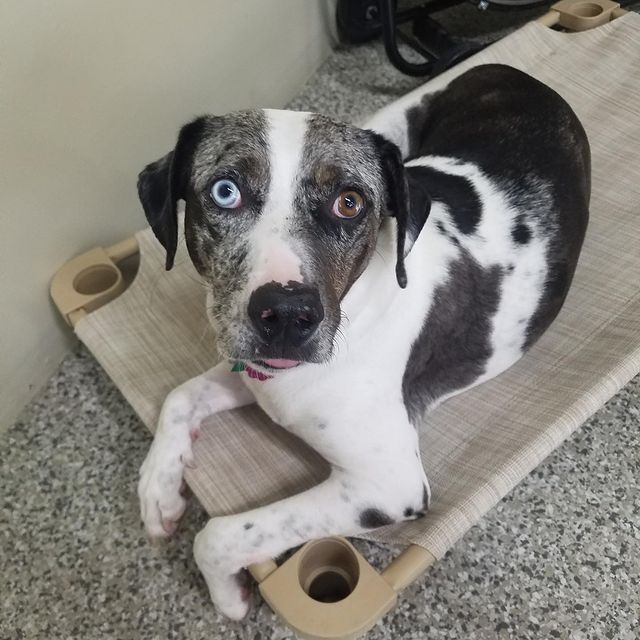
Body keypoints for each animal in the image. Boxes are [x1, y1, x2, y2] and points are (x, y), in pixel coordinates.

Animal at [136, 62, 592, 616]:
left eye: (349, 202)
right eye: (226, 191)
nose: (286, 315)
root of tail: (511, 68)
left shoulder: (388, 485)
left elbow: (219, 535)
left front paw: (228, 595)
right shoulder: (253, 372)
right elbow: (179, 396)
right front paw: (158, 490)